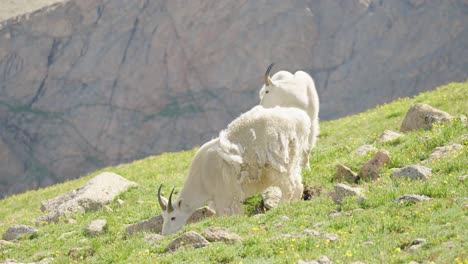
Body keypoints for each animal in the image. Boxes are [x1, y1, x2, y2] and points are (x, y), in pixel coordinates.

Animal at [157, 105, 310, 235]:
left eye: (173, 217)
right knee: (298, 186)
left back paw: (280, 207)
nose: (165, 235)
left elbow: (228, 213)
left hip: (278, 164)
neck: (201, 179)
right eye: (164, 217)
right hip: (293, 161)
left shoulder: (224, 194)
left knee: (289, 187)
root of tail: (300, 121)